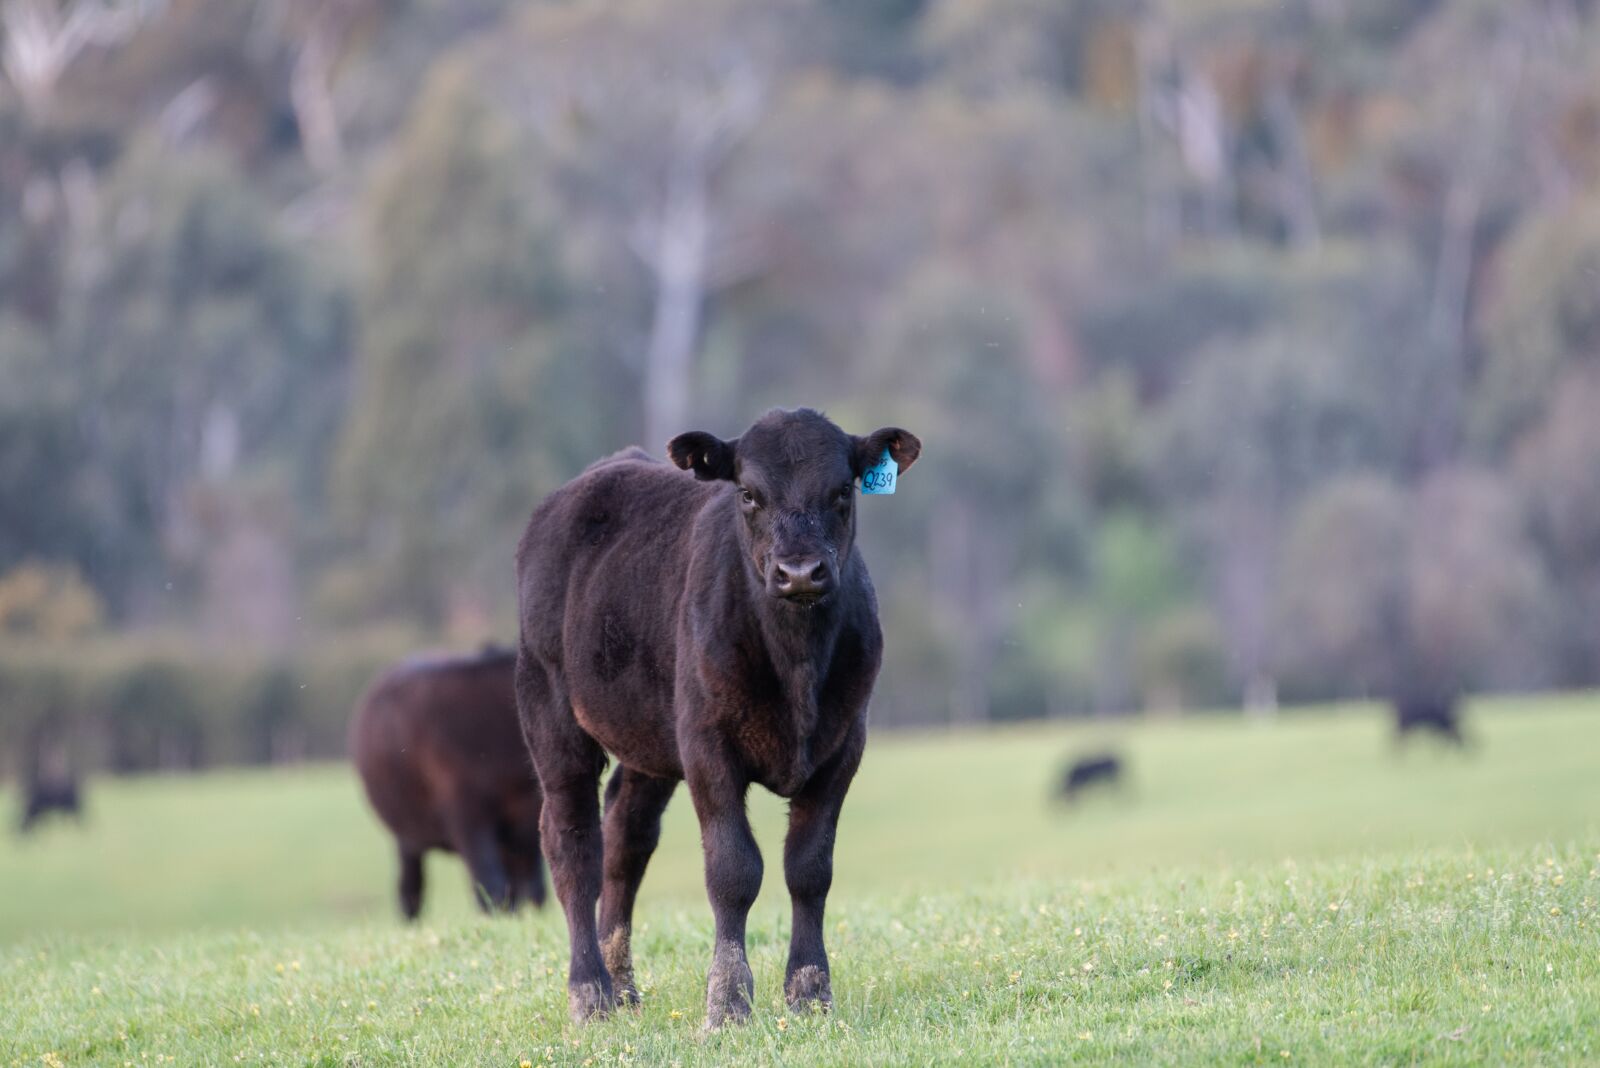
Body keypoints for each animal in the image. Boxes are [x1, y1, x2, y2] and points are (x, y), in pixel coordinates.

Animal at [349, 645, 546, 920]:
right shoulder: (466, 815)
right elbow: (490, 885)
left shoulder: (531, 815)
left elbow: (531, 888)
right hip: (407, 835)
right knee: (410, 889)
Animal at [514, 408, 919, 1027]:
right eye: (748, 493)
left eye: (842, 490)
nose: (799, 572)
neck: (796, 664)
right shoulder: (707, 743)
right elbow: (733, 870)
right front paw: (727, 1001)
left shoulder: (845, 742)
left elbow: (810, 868)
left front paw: (810, 991)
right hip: (549, 708)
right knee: (573, 843)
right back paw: (591, 992)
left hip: (649, 742)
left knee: (626, 839)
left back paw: (623, 985)